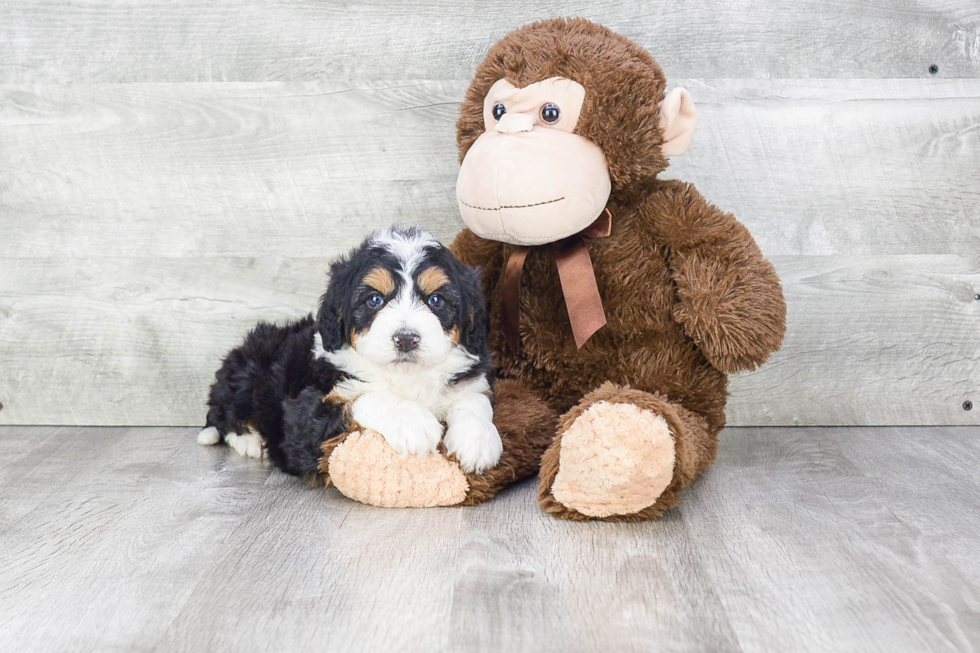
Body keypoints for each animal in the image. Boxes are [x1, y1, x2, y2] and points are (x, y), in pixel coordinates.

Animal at [199, 227, 506, 476]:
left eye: (436, 300)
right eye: (374, 300)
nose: (406, 339)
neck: (406, 376)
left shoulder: (471, 379)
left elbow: (475, 399)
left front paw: (477, 439)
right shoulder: (305, 421)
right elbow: (363, 398)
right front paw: (413, 421)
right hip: (246, 370)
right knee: (223, 414)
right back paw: (249, 441)